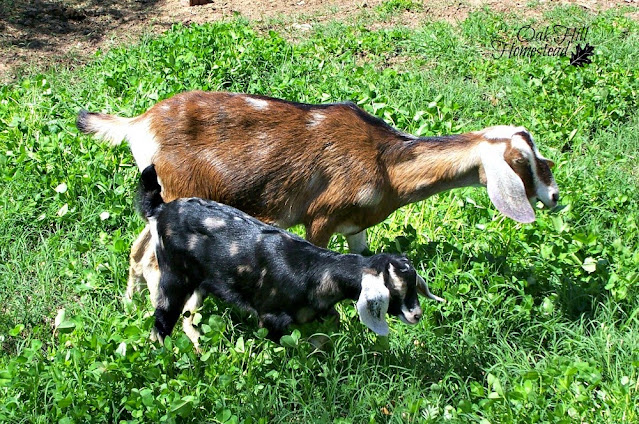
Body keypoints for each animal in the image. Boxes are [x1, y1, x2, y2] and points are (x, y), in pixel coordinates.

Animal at [139, 164, 444, 346]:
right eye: (394, 291)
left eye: (415, 286)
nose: (416, 314)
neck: (315, 271)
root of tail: (161, 210)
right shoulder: (271, 318)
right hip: (174, 277)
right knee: (163, 317)